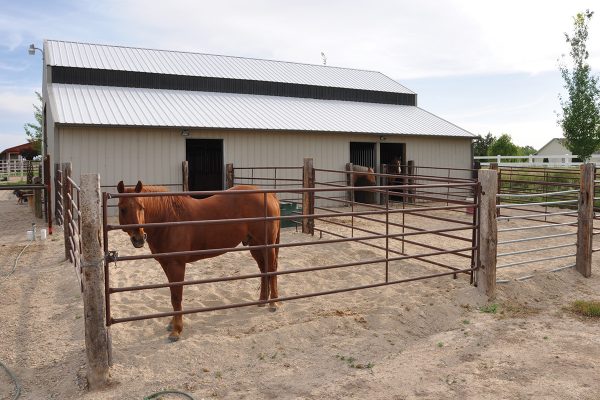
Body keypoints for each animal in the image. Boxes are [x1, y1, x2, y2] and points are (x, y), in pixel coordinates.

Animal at [117, 181, 282, 340]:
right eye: (122, 209)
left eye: (141, 207)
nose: (139, 238)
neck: (168, 219)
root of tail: (269, 195)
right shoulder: (166, 264)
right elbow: (172, 294)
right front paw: (172, 324)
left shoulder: (176, 265)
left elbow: (176, 296)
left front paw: (176, 330)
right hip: (255, 244)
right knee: (264, 269)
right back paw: (262, 301)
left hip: (267, 244)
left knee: (271, 268)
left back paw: (273, 303)